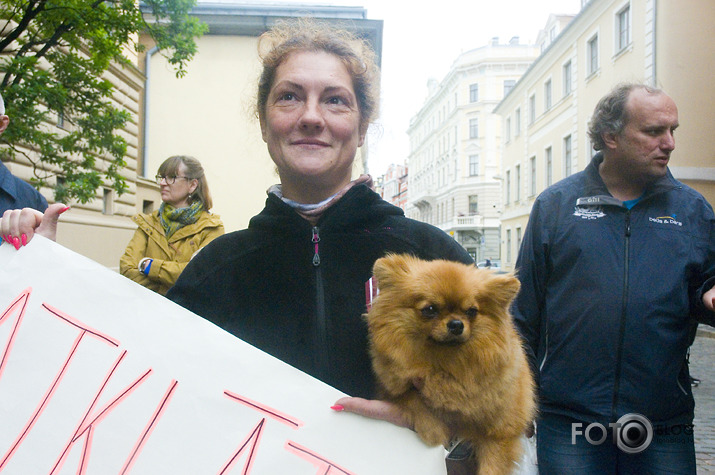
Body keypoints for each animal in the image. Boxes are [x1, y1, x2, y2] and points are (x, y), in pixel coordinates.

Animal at [366, 256, 536, 475]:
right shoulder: (395, 387)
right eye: (430, 309)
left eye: (471, 311)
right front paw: (432, 429)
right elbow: (412, 397)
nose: (456, 324)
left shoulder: (500, 432)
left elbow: (493, 466)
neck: (446, 365)